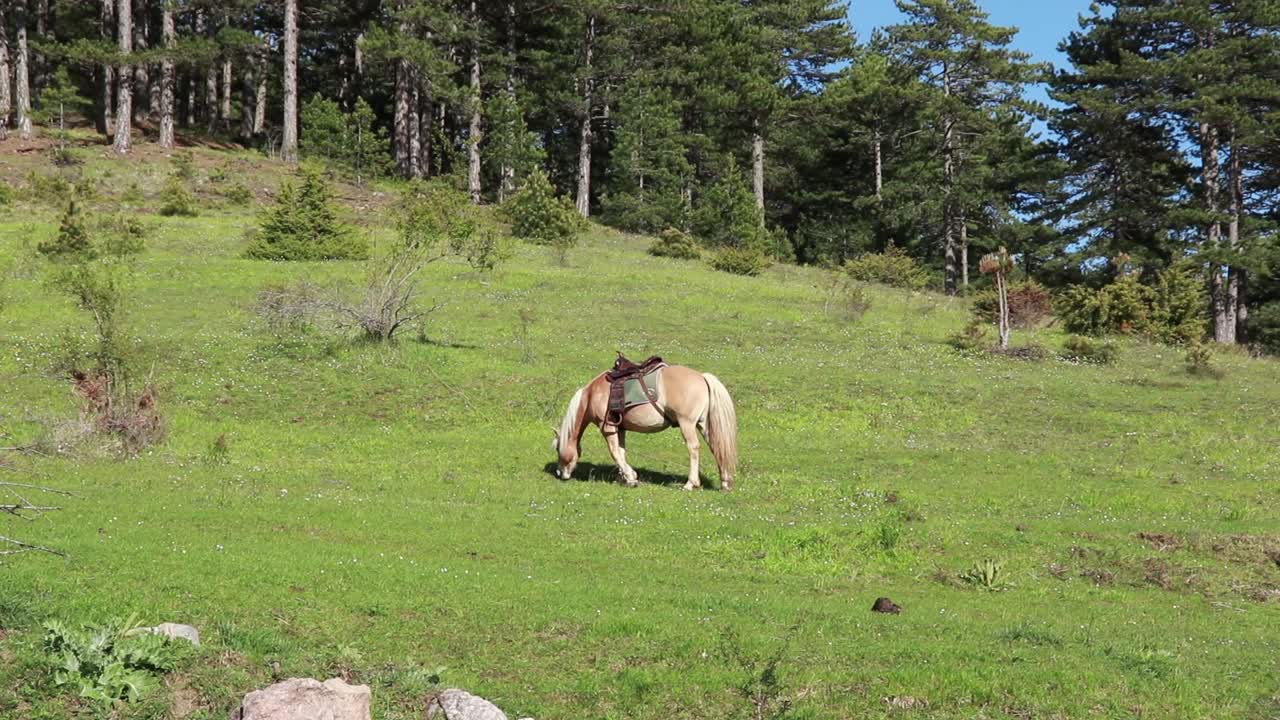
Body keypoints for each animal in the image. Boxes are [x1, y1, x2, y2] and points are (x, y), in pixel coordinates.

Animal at [552, 363, 738, 490]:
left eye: (557, 449)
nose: (560, 474)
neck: (593, 394)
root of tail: (702, 377)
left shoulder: (608, 428)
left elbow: (615, 452)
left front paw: (630, 477)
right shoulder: (620, 428)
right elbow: (621, 452)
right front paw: (625, 477)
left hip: (687, 424)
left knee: (694, 448)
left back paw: (690, 483)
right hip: (703, 425)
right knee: (717, 447)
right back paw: (725, 482)